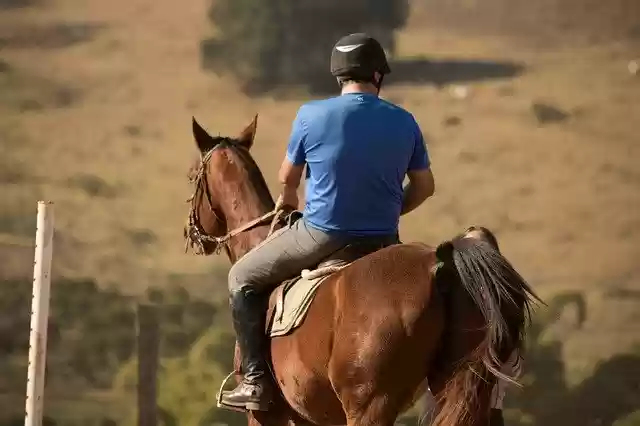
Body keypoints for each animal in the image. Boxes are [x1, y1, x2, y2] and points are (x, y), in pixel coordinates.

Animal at [183, 115, 542, 426]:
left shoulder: (265, 416)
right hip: (462, 387)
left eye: (191, 177)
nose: (192, 234)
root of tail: (438, 262)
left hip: (370, 405)